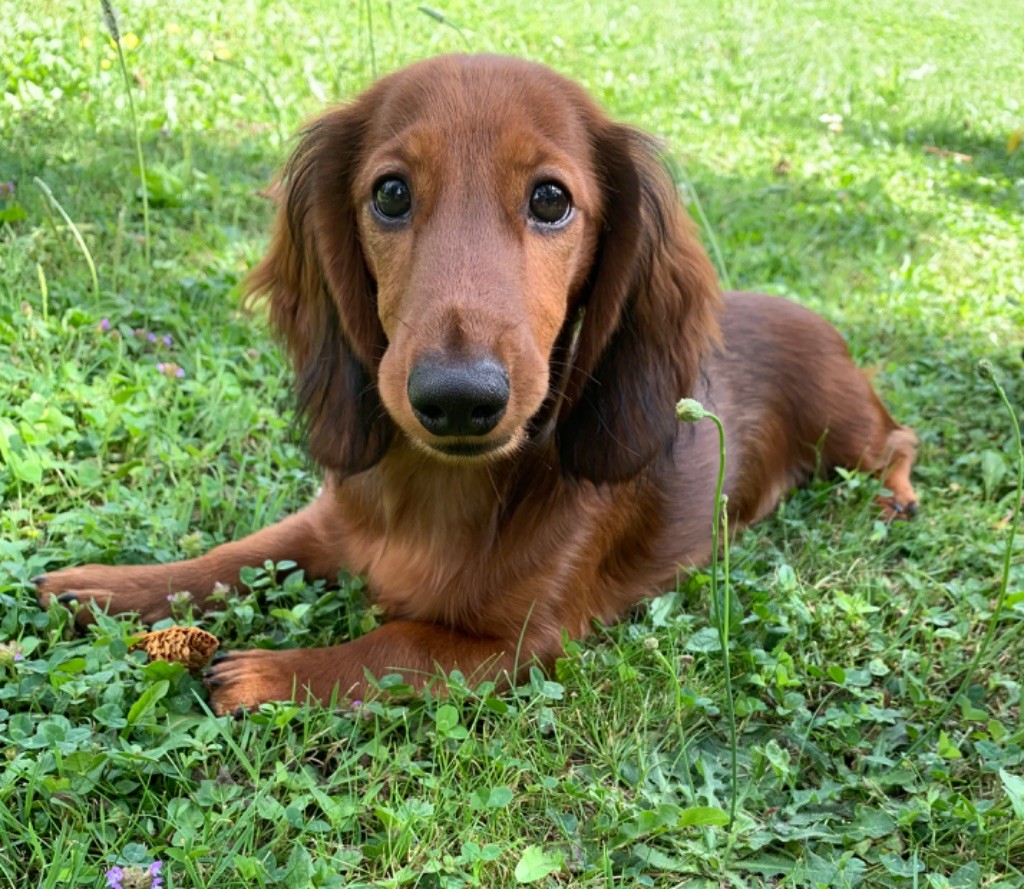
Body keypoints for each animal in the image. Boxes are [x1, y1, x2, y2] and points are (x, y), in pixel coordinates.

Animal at [34, 55, 921, 716]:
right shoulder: (328, 524)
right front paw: (102, 586)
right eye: (391, 192)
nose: (459, 398)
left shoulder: (515, 643)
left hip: (849, 435)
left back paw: (896, 497)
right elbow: (232, 555)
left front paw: (266, 671)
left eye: (551, 199)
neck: (437, 492)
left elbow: (393, 643)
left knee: (901, 440)